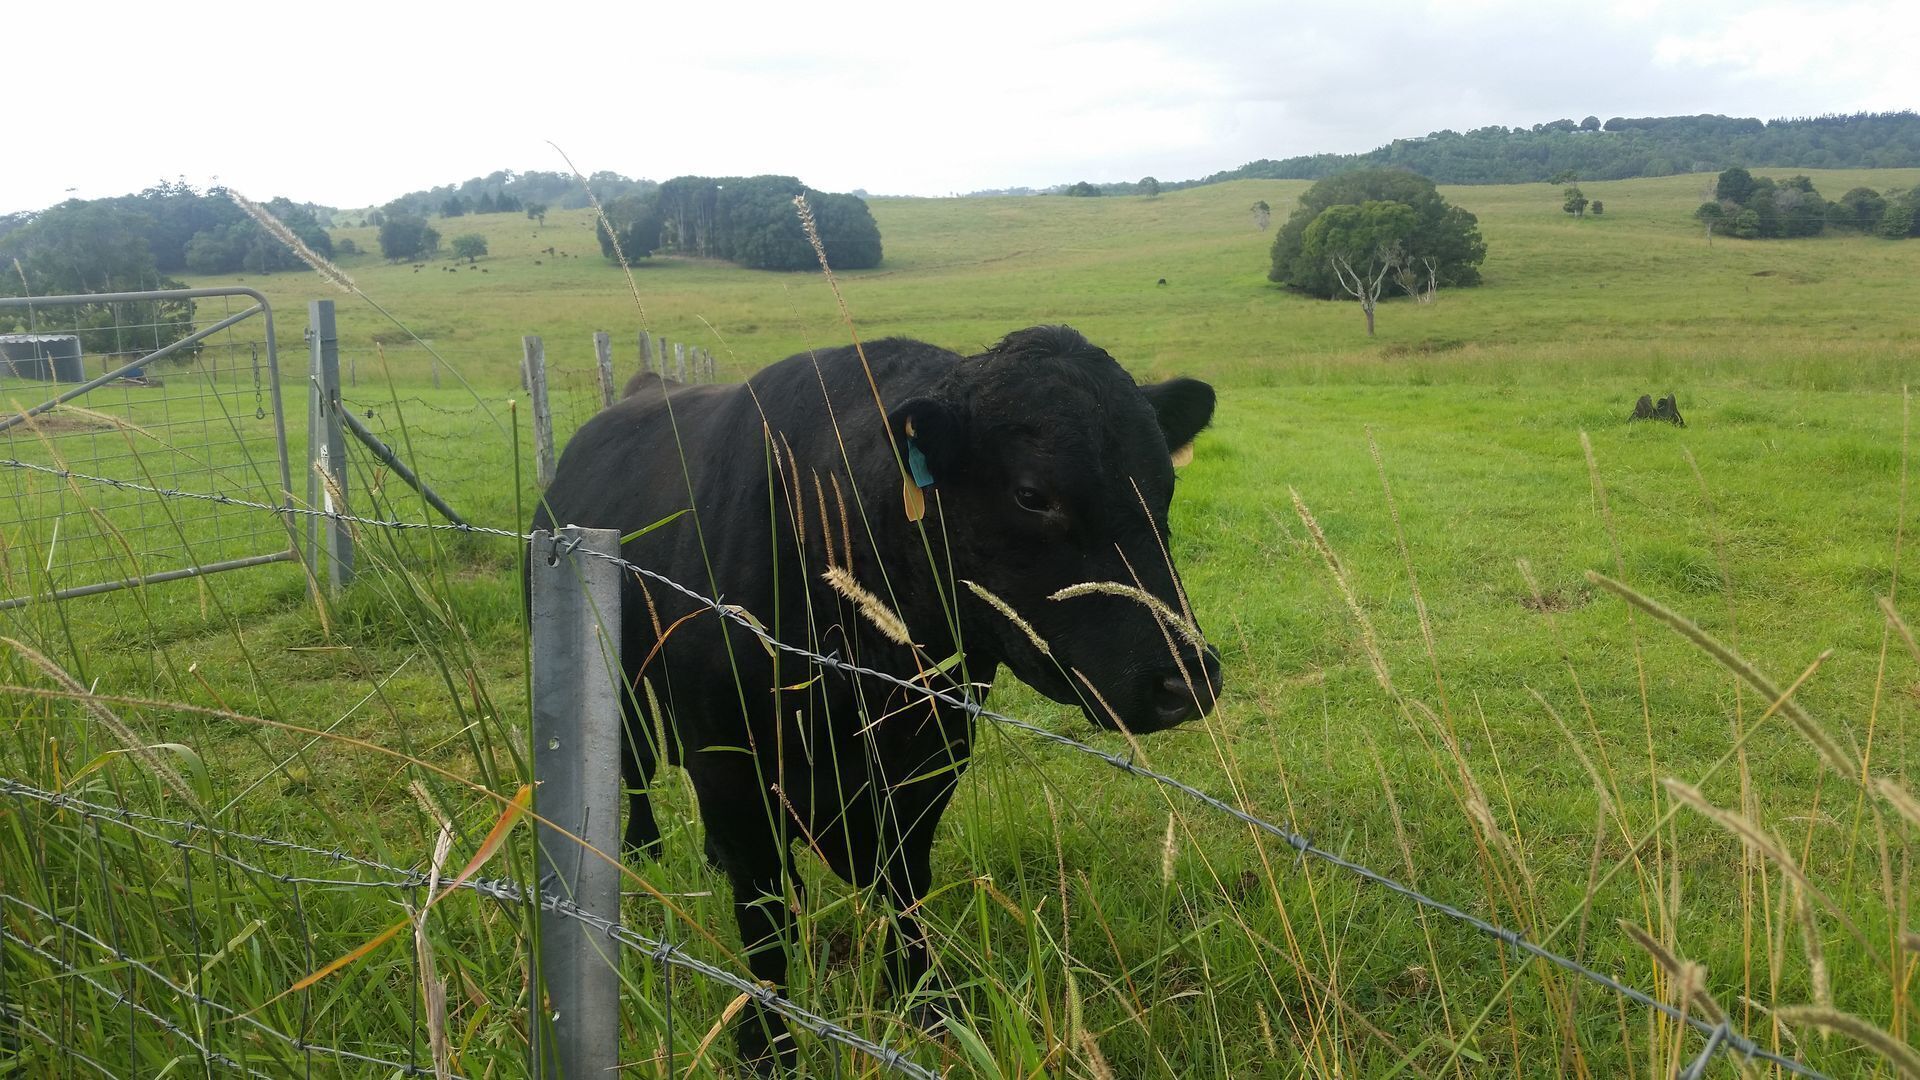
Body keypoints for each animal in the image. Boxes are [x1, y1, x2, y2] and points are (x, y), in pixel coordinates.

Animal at [529, 320, 1213, 1068]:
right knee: (635, 762)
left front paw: (929, 1008)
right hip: (620, 674)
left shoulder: (933, 750)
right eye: (1033, 495)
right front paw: (768, 1045)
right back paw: (643, 847)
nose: (1187, 676)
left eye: (1165, 483)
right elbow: (765, 914)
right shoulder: (727, 760)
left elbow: (906, 886)